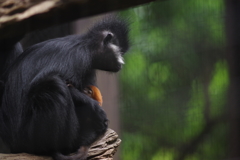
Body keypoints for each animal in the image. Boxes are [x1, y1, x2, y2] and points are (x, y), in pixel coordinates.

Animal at [0, 16, 129, 160]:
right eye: (120, 52)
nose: (122, 62)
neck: (86, 46)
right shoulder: (80, 58)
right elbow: (68, 86)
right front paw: (97, 110)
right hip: (26, 136)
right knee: (54, 84)